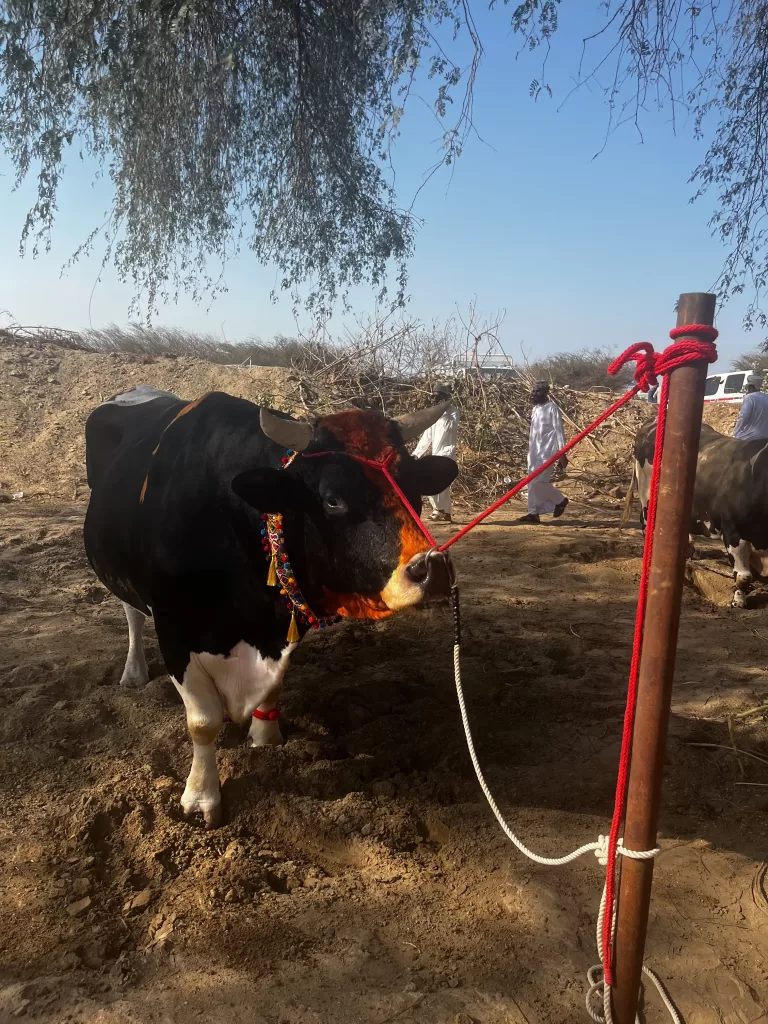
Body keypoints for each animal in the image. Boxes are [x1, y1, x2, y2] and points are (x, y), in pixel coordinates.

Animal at [83, 386, 459, 827]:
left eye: (413, 488)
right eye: (332, 499)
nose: (432, 567)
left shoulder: (282, 627)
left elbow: (274, 687)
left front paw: (266, 737)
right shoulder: (175, 632)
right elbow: (203, 722)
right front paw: (201, 797)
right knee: (131, 614)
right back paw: (134, 672)